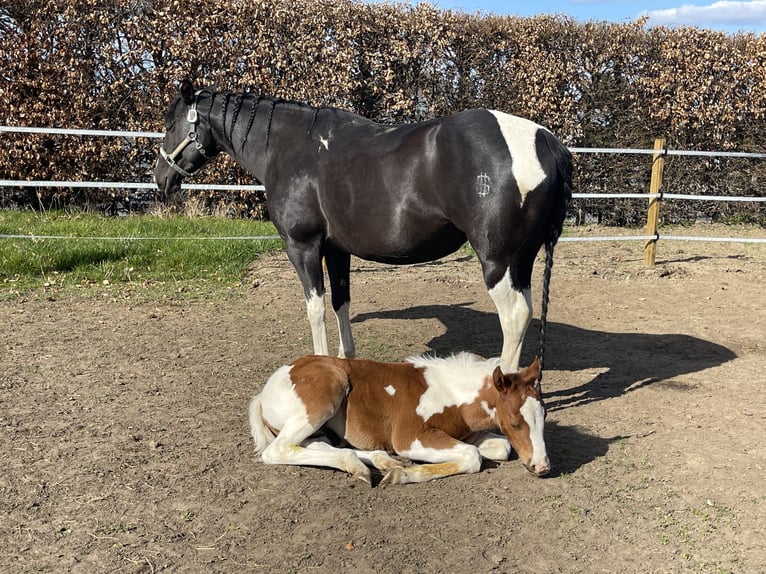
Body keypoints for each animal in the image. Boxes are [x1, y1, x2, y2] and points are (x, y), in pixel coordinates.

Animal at [154, 80, 572, 375]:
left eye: (171, 124)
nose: (160, 178)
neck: (290, 148)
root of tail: (545, 141)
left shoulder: (303, 247)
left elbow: (316, 309)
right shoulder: (337, 250)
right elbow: (341, 303)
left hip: (495, 260)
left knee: (513, 317)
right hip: (522, 260)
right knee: (526, 312)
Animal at [248, 352, 548, 485]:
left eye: (543, 416)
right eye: (515, 422)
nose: (542, 466)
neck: (452, 394)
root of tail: (263, 394)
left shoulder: (470, 433)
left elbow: (502, 447)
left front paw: (397, 469)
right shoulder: (410, 437)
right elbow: (472, 456)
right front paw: (402, 475)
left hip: (317, 428)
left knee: (316, 445)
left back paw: (378, 461)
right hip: (326, 395)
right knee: (277, 450)